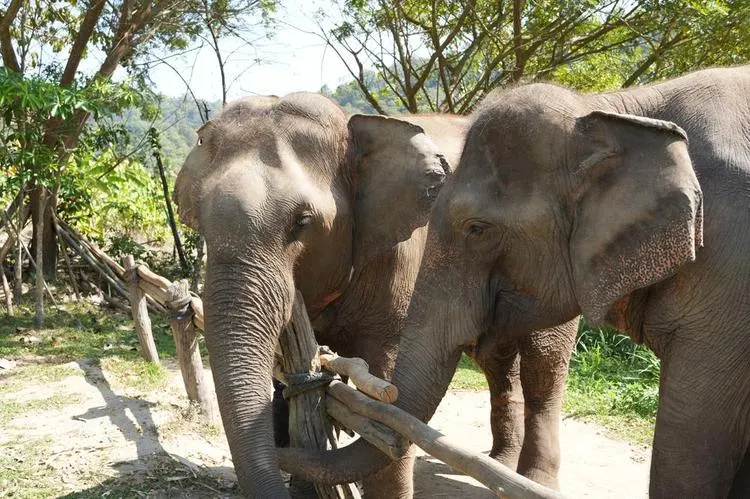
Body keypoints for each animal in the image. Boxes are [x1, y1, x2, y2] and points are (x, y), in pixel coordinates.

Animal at [174, 93, 578, 497]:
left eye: (302, 222)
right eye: (200, 223)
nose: (279, 451)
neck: (352, 124)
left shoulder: (403, 267)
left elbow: (387, 391)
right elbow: (287, 368)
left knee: (542, 367)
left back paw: (532, 479)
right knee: (498, 363)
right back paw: (499, 463)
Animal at [283, 66, 750, 497]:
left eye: (476, 228)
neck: (620, 108)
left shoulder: (731, 270)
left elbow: (690, 439)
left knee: (542, 368)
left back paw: (531, 479)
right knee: (501, 362)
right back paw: (502, 467)